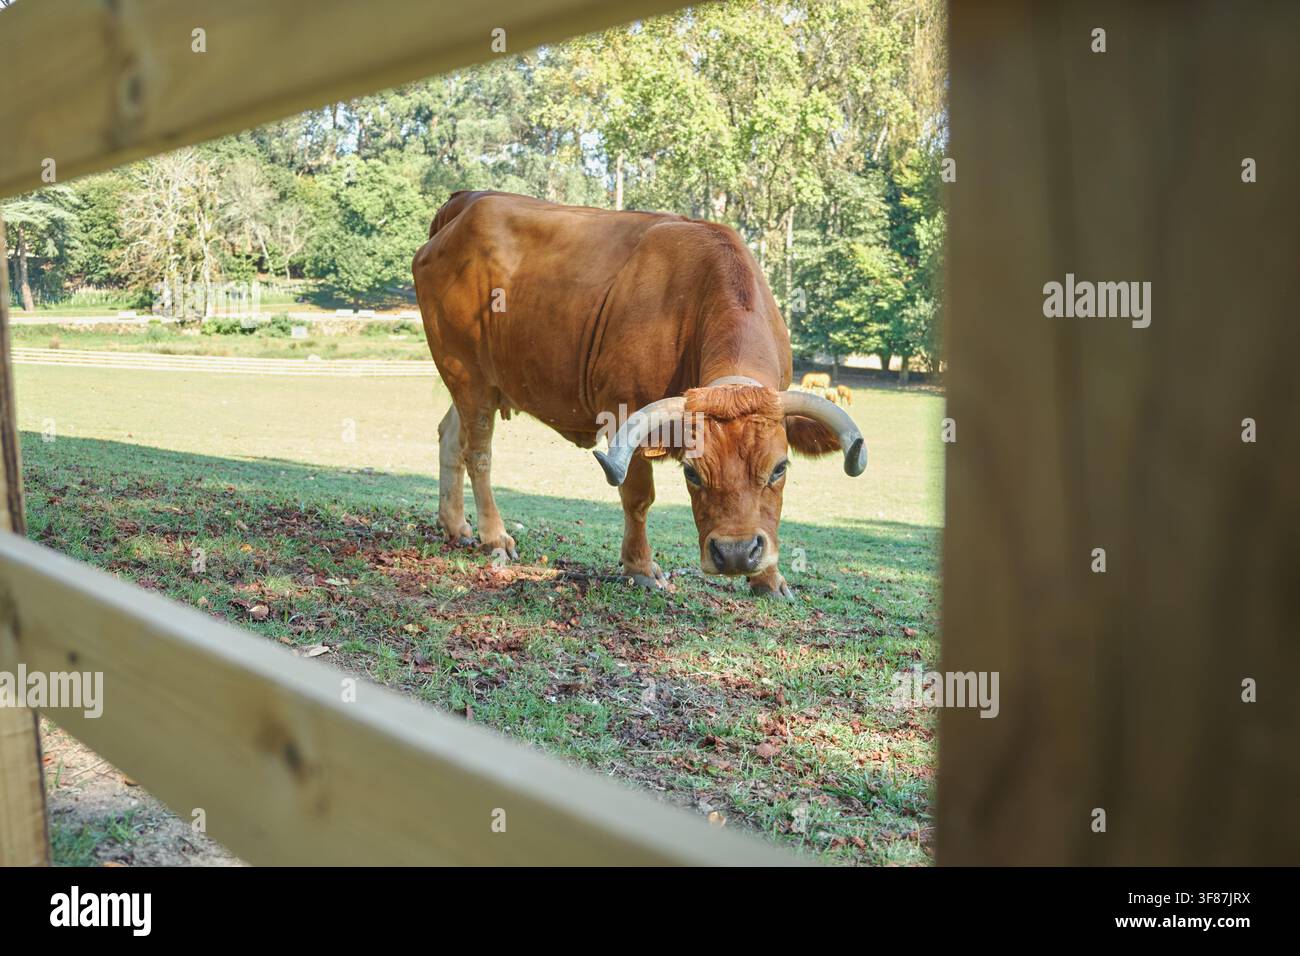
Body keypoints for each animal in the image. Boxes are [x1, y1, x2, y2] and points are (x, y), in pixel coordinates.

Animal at [412, 191, 866, 600]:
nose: (736, 553)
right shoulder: (622, 410)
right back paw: (493, 536)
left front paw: (769, 580)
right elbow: (638, 497)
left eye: (779, 468)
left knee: (450, 437)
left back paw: (455, 526)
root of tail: (468, 201)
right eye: (692, 473)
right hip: (465, 371)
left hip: (479, 382)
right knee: (478, 452)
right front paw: (641, 568)